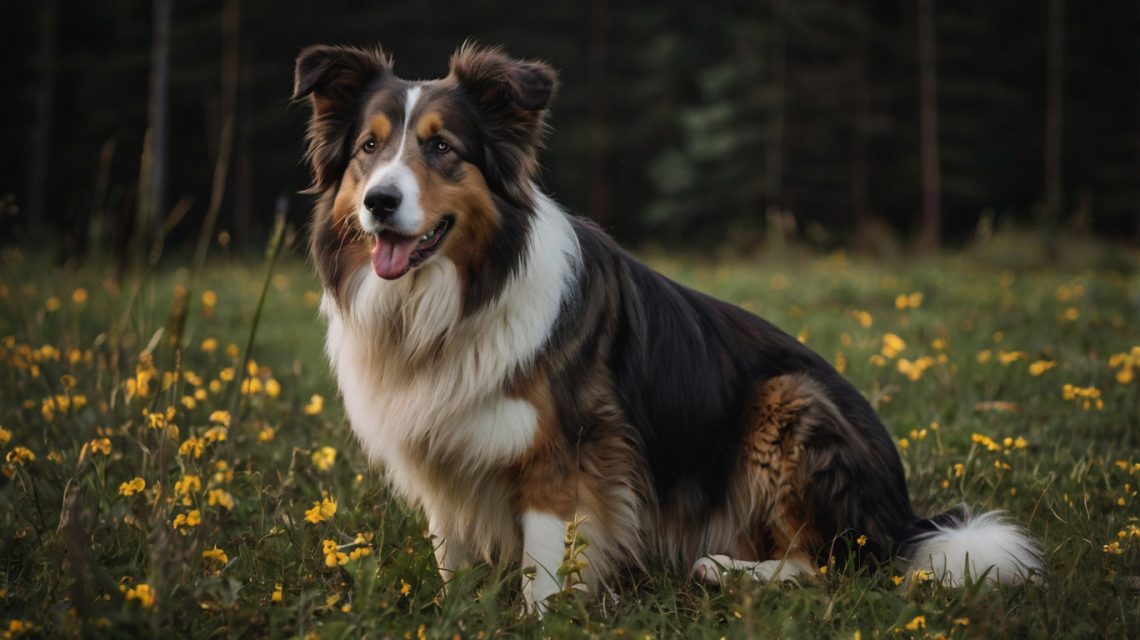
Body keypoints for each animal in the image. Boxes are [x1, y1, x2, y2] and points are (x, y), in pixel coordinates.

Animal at [294, 42, 1044, 611]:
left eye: (443, 148)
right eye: (369, 147)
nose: (379, 202)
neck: (454, 296)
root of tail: (901, 518)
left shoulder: (566, 455)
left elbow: (545, 562)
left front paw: (539, 618)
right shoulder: (443, 450)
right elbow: (450, 551)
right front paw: (455, 611)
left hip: (788, 400)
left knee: (831, 563)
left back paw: (727, 570)